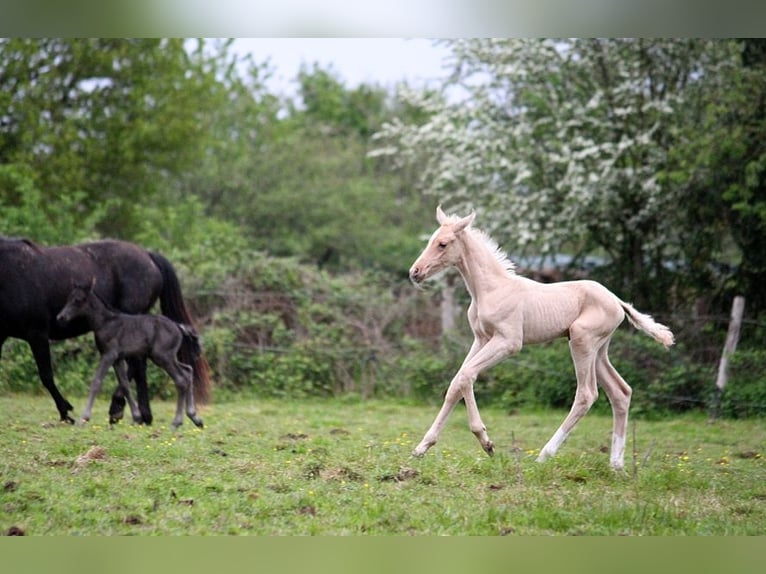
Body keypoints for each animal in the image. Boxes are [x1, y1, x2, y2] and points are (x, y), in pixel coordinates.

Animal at [0, 236, 210, 426]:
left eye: (77, 300)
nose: (61, 317)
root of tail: (148, 255)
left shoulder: (37, 334)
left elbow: (46, 376)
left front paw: (66, 412)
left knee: (139, 366)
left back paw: (130, 412)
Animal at [412, 209, 676, 470]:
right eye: (431, 240)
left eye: (443, 243)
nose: (415, 272)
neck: (491, 289)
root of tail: (618, 301)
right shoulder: (481, 339)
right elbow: (457, 382)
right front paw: (422, 447)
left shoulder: (508, 342)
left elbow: (467, 375)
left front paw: (486, 442)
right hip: (599, 350)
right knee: (620, 392)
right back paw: (616, 465)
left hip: (581, 340)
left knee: (587, 394)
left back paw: (545, 455)